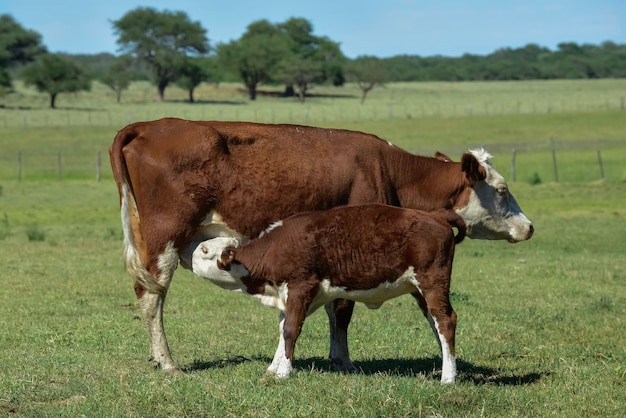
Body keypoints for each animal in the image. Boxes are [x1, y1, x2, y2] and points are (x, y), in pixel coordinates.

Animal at [188, 204, 466, 384]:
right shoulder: (289, 296)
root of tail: (434, 215)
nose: (187, 256)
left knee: (446, 320)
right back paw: (446, 367)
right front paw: (273, 369)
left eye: (204, 250)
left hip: (432, 281)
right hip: (419, 289)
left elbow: (290, 330)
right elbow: (283, 329)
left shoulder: (301, 287)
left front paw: (284, 372)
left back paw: (448, 378)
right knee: (435, 323)